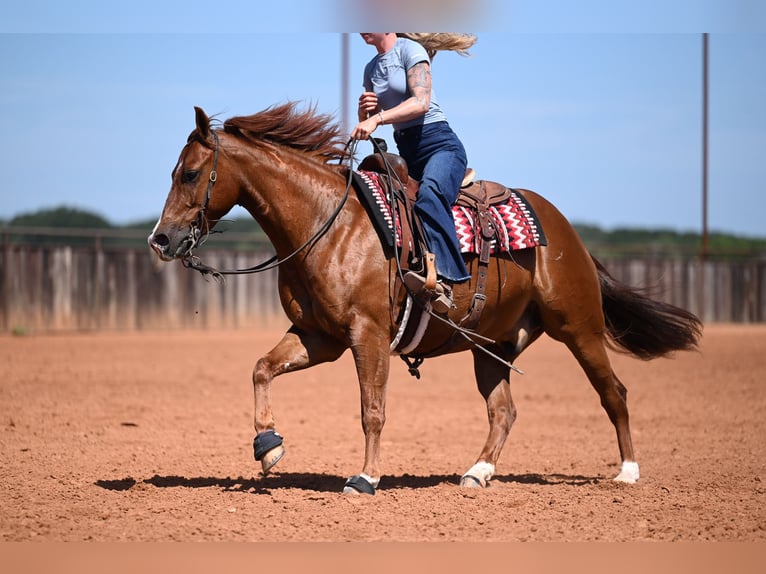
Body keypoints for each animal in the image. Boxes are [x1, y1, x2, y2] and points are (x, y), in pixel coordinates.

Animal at [148, 103, 702, 494]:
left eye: (190, 173)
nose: (160, 239)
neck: (327, 224)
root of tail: (567, 231)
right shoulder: (319, 336)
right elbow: (261, 368)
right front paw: (268, 447)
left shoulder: (367, 334)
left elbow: (372, 409)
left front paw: (366, 477)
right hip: (491, 346)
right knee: (503, 410)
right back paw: (477, 473)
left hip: (579, 328)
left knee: (614, 393)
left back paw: (627, 472)